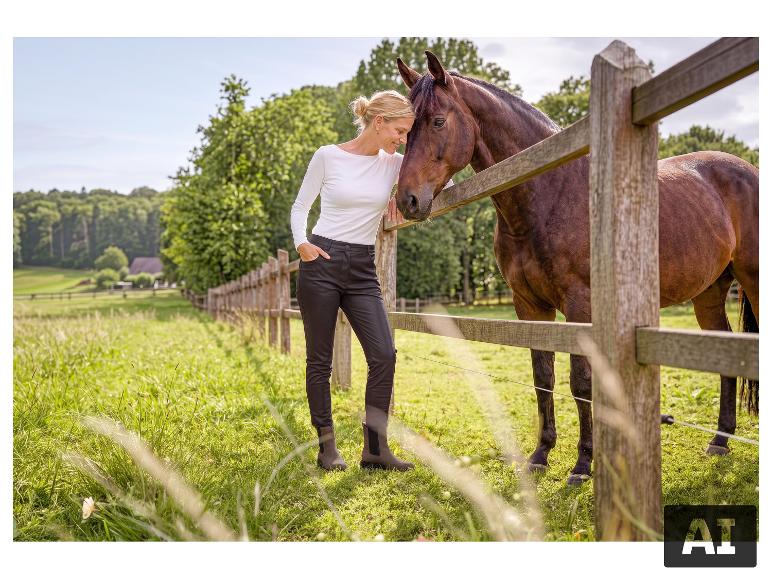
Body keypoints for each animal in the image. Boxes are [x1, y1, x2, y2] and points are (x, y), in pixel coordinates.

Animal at [395, 51, 759, 486]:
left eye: (437, 121)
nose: (406, 200)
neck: (549, 192)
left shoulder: (581, 305)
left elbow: (581, 381)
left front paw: (584, 463)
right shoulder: (529, 306)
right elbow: (543, 377)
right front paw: (541, 454)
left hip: (753, 280)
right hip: (709, 292)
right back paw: (720, 440)